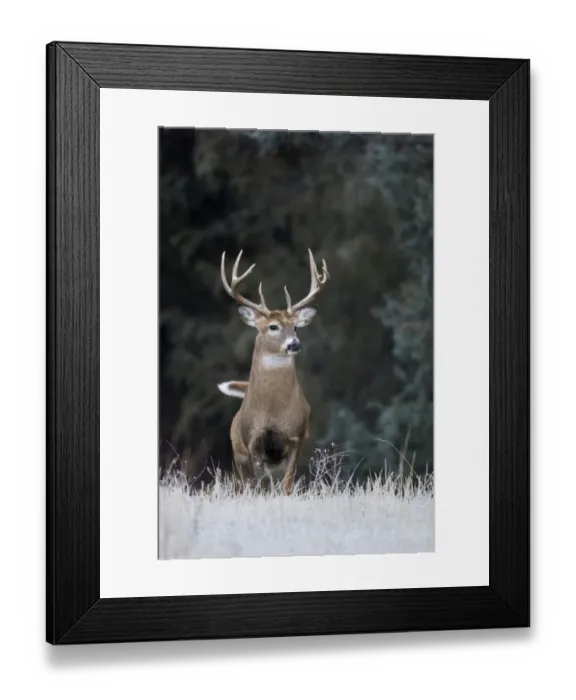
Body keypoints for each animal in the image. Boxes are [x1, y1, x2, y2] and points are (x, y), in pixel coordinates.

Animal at [217, 248, 329, 495]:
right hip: (238, 453)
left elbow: (287, 484)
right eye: (273, 327)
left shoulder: (296, 437)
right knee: (247, 483)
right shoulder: (253, 442)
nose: (294, 344)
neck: (272, 411)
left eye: (295, 327)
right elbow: (259, 486)